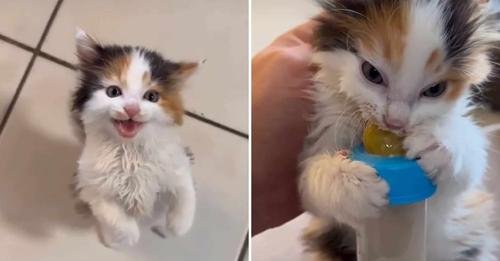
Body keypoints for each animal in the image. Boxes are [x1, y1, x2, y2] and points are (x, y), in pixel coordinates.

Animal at [71, 30, 198, 248]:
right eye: (113, 92)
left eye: (152, 96)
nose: (131, 109)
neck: (131, 150)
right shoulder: (91, 183)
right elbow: (112, 213)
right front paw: (129, 235)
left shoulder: (176, 163)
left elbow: (186, 192)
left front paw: (179, 225)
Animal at [298, 0, 500, 260]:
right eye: (371, 73)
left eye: (434, 90)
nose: (395, 122)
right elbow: (310, 186)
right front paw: (352, 183)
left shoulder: (457, 197)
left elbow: (470, 166)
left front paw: (437, 143)